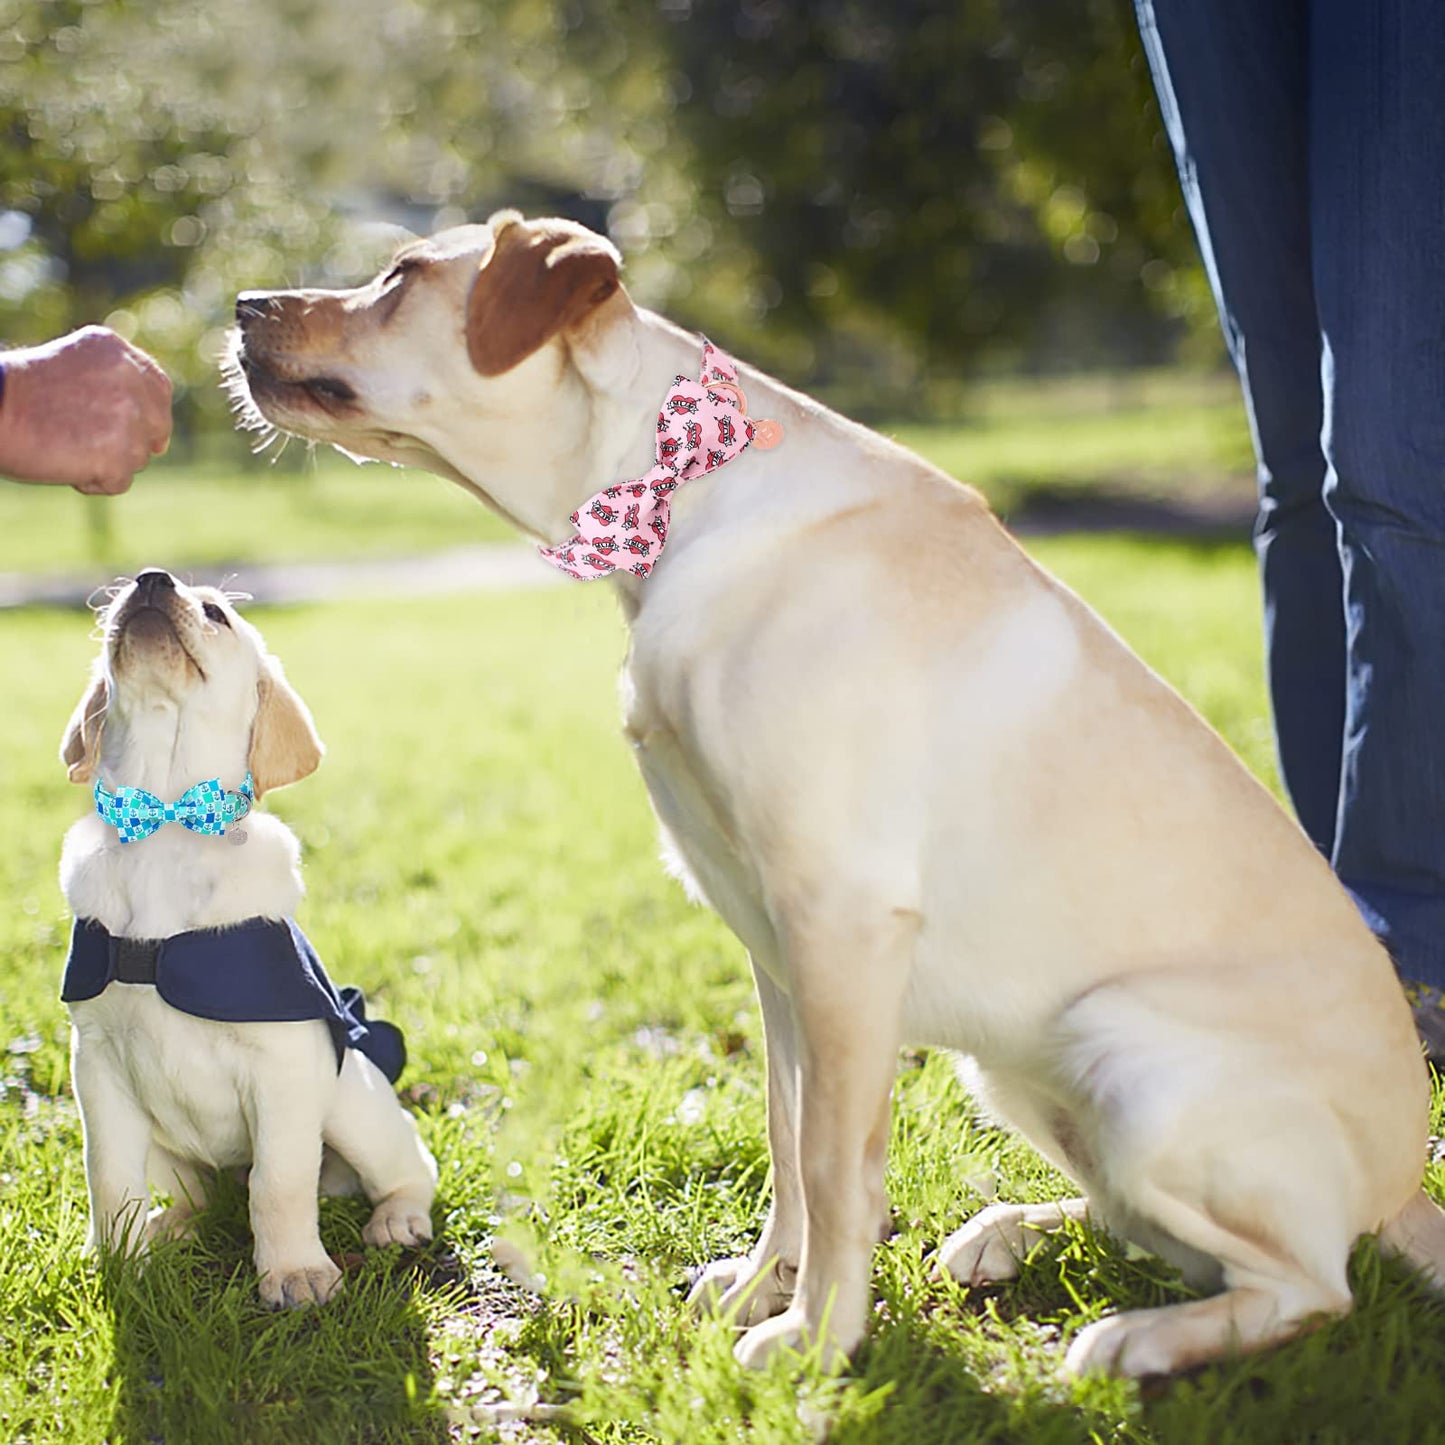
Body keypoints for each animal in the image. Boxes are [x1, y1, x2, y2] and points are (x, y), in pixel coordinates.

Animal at [62, 572, 433, 1312]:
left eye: (215, 613)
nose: (149, 581)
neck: (166, 822)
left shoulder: (284, 1070)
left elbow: (279, 1182)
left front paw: (294, 1272)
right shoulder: (97, 1065)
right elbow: (108, 1175)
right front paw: (118, 1264)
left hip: (351, 1100)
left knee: (409, 1164)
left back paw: (398, 1217)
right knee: (198, 1196)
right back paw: (171, 1226)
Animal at [225, 210, 1445, 1375]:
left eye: (400, 276)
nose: (238, 305)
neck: (686, 487)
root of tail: (1404, 1184)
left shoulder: (839, 923)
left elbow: (833, 1160)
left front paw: (815, 1340)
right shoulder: (773, 947)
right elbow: (784, 1132)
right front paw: (766, 1284)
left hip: (1130, 1062)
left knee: (1306, 1284)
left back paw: (1137, 1340)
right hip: (1013, 1066)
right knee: (1152, 1227)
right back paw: (1009, 1231)